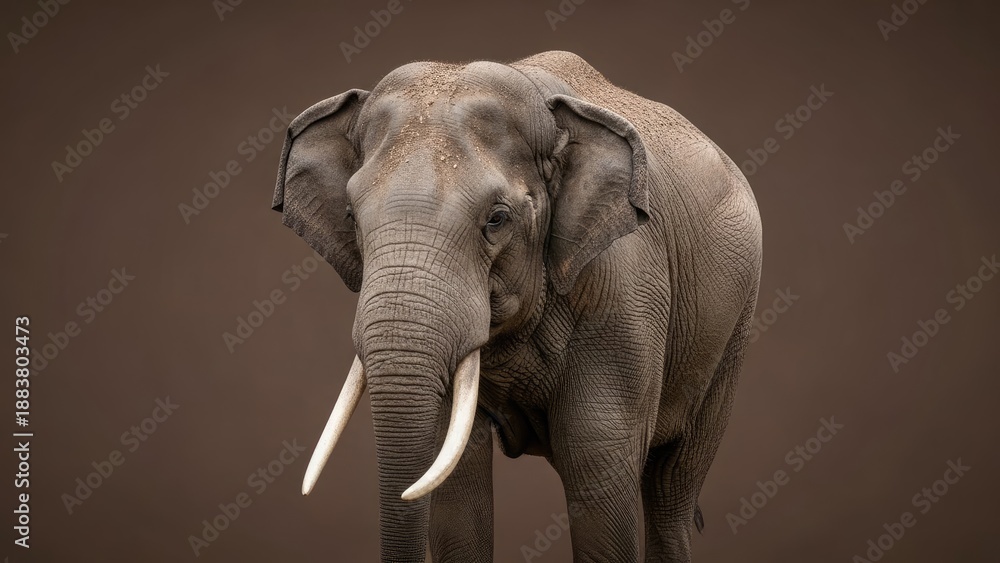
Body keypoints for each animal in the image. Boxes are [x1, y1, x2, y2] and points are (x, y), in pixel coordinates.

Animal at [271, 50, 762, 562]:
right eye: (351, 217)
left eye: (497, 220)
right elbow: (457, 487)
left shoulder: (623, 295)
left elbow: (598, 468)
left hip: (733, 330)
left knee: (671, 488)